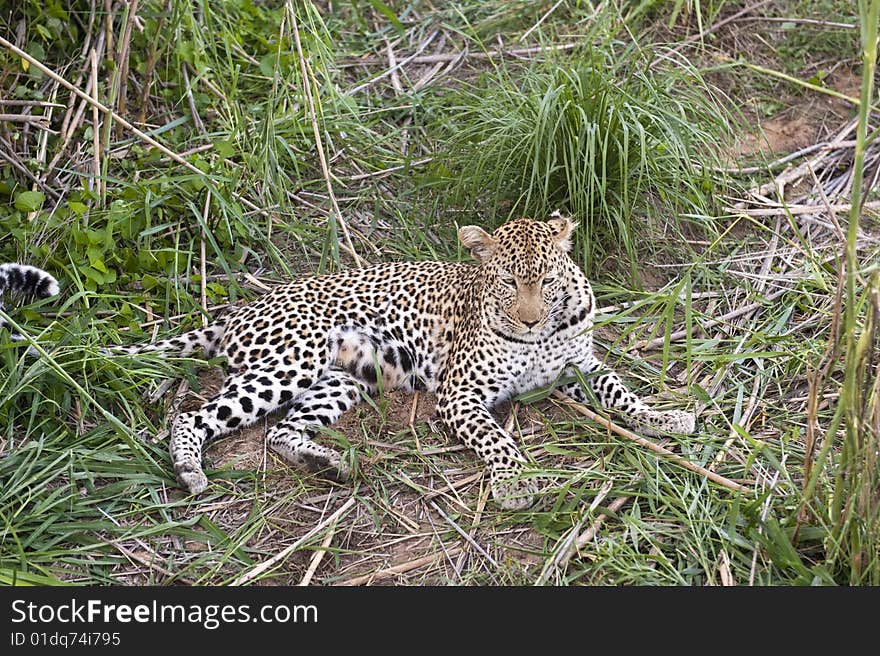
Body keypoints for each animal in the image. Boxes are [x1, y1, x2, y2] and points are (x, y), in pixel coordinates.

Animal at [120, 215, 696, 508]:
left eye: (548, 279)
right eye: (507, 282)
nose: (531, 322)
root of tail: (240, 309)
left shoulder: (578, 368)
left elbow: (621, 392)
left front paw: (664, 418)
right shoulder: (462, 393)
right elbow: (499, 439)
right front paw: (514, 481)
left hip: (344, 380)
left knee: (280, 431)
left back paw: (329, 465)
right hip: (292, 362)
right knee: (191, 417)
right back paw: (190, 471)